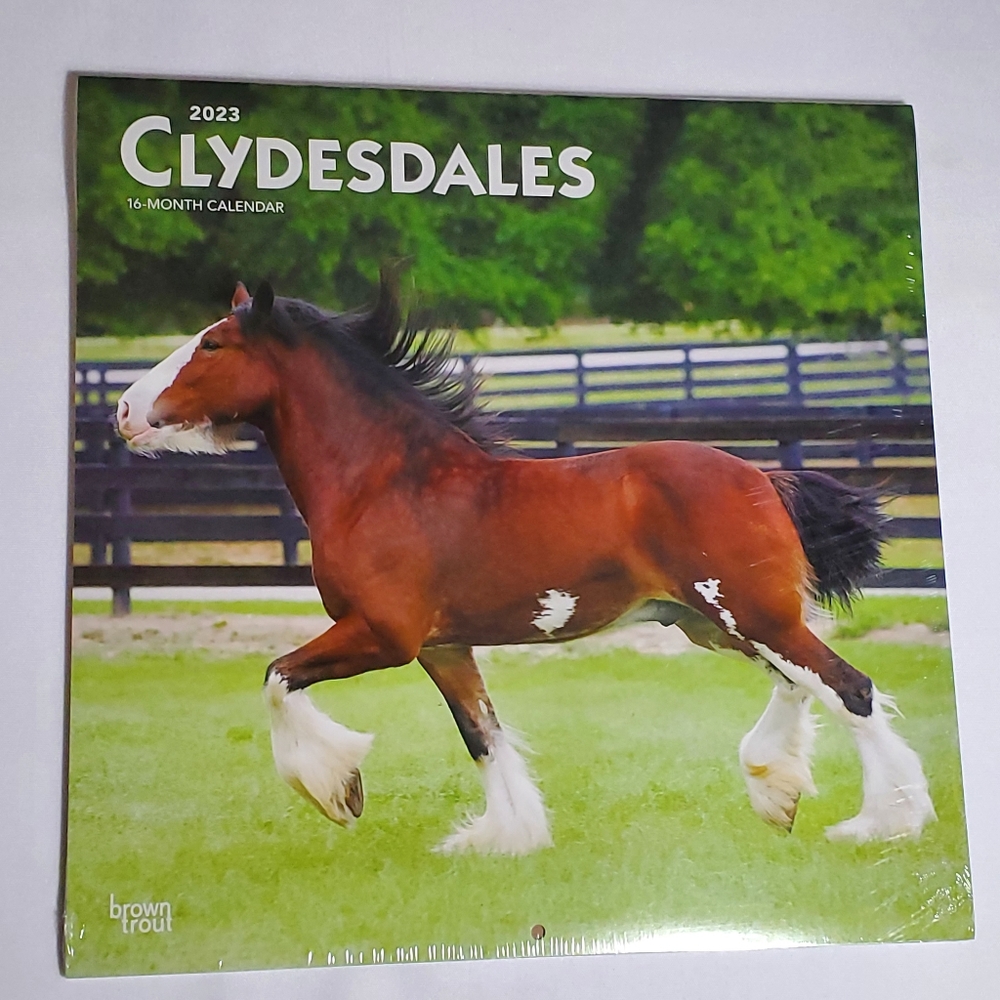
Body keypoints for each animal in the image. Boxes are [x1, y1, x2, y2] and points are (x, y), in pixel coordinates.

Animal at [116, 273, 936, 855]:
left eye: (213, 346)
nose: (123, 412)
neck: (385, 482)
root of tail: (762, 477)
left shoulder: (382, 636)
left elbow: (278, 678)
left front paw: (339, 791)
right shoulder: (444, 648)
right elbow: (484, 736)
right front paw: (504, 839)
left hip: (748, 614)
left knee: (849, 688)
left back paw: (881, 824)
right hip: (715, 622)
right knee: (802, 687)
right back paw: (779, 791)